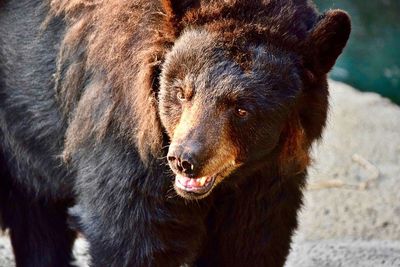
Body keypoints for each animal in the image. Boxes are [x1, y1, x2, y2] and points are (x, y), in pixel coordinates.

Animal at [0, 0, 350, 266]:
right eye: (182, 92)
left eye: (242, 109)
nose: (185, 160)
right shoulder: (125, 137)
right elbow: (131, 236)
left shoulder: (267, 177)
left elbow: (249, 241)